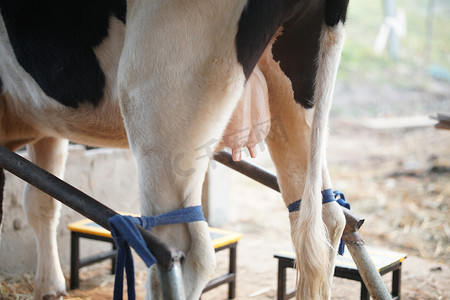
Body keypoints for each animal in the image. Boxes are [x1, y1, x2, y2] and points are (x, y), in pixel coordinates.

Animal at [0, 0, 350, 298]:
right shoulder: (48, 127)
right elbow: (41, 204)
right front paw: (49, 287)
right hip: (295, 90)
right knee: (323, 219)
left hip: (157, 87)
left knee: (180, 252)